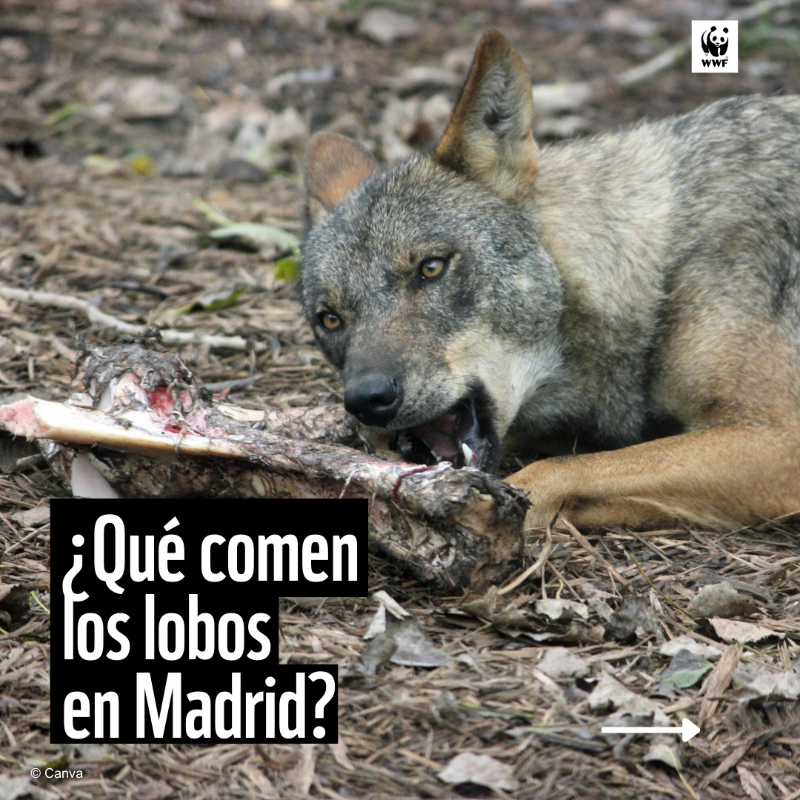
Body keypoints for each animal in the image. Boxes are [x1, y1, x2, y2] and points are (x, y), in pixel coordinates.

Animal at [300, 30, 800, 530]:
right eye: (330, 319)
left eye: (431, 268)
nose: (367, 399)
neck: (658, 268)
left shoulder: (775, 436)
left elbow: (553, 472)